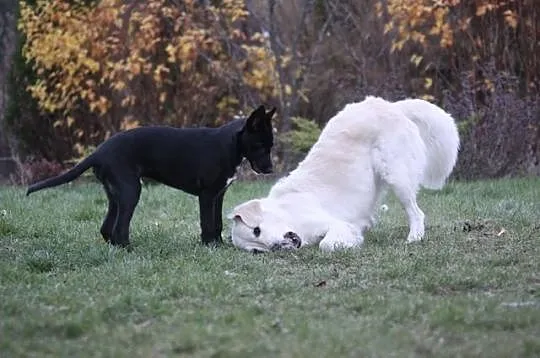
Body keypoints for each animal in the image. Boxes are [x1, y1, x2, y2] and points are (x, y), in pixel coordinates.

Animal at [26, 105, 276, 248]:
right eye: (259, 146)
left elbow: (217, 223)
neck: (230, 145)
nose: (270, 170)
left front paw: (219, 245)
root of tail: (98, 152)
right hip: (130, 191)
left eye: (270, 146)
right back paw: (129, 251)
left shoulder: (219, 194)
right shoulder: (206, 195)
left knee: (107, 228)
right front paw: (210, 247)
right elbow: (207, 223)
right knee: (119, 228)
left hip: (116, 194)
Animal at [228, 95, 460, 252]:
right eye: (257, 250)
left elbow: (326, 245)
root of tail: (391, 105)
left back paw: (413, 238)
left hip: (397, 177)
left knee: (416, 213)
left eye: (257, 230)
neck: (286, 211)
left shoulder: (335, 224)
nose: (277, 247)